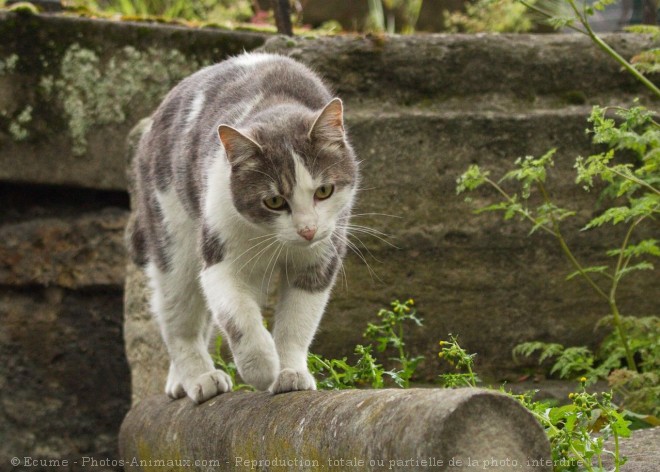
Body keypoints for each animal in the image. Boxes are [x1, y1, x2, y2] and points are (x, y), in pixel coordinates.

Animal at [125, 53, 358, 404]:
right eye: (274, 201)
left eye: (324, 191)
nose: (307, 229)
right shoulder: (219, 259)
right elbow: (238, 318)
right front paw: (261, 368)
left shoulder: (319, 260)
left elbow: (297, 323)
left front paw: (290, 373)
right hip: (173, 240)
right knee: (179, 321)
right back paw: (199, 378)